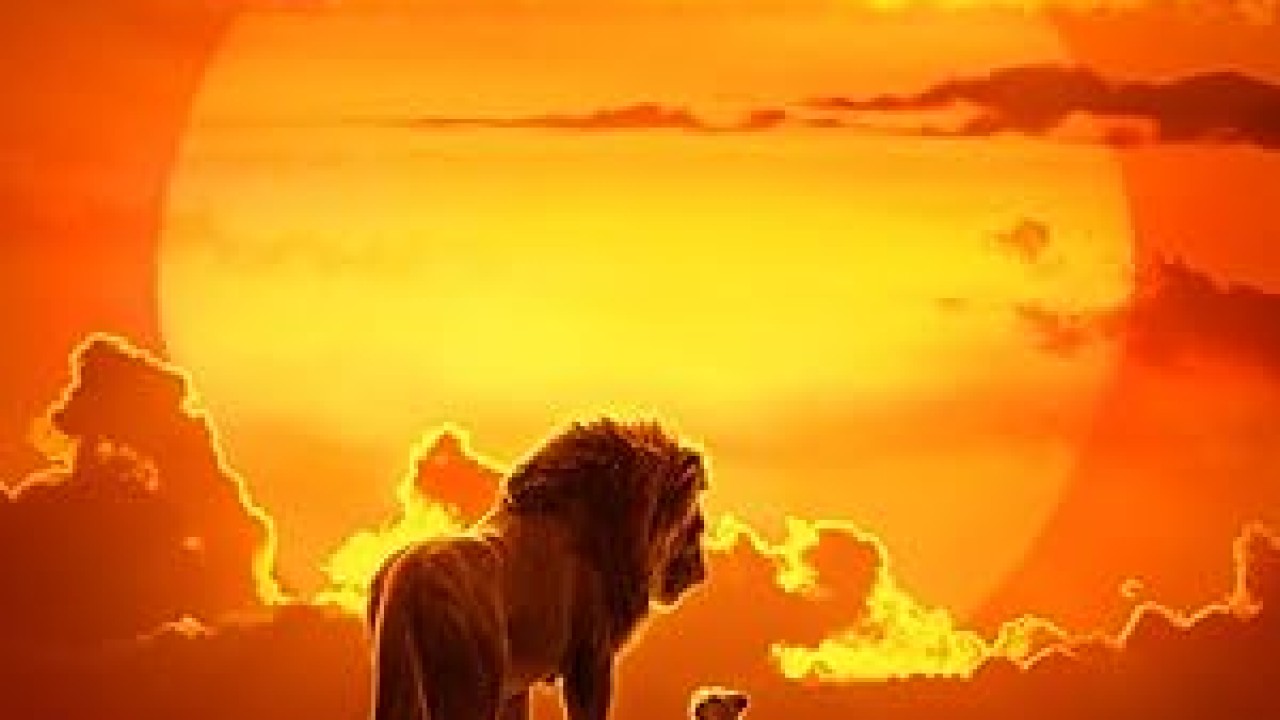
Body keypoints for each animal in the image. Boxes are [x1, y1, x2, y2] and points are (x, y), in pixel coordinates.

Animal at [368, 418, 710, 720]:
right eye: (698, 526)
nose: (701, 574)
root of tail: (406, 583)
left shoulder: (516, 686)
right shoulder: (591, 657)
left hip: (397, 684)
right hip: (469, 689)